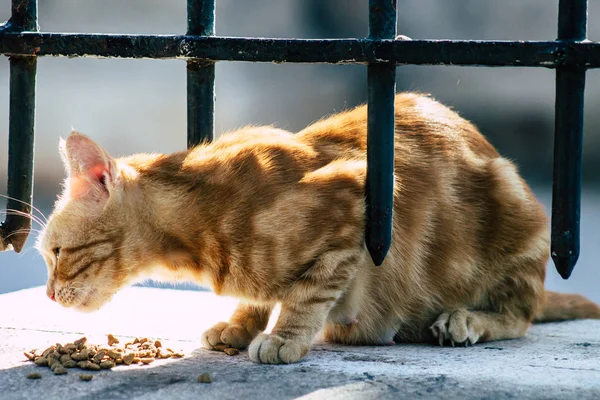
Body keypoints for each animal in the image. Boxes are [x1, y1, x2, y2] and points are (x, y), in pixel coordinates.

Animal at [38, 93, 600, 362]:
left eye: (57, 254)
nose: (46, 293)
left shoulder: (358, 204)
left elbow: (307, 293)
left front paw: (284, 337)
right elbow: (260, 295)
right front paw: (241, 324)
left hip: (517, 216)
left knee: (521, 315)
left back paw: (467, 320)